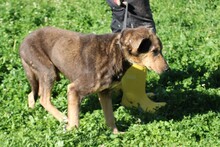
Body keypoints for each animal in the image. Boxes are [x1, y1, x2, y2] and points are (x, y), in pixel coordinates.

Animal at [19, 26, 168, 133]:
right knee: (44, 99)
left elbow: (110, 117)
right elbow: (75, 120)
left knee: (32, 94)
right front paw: (73, 134)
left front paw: (116, 134)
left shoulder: (104, 92)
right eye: (154, 51)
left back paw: (32, 110)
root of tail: (24, 40)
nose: (167, 69)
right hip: (48, 71)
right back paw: (62, 118)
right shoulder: (74, 89)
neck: (117, 51)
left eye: (160, 50)